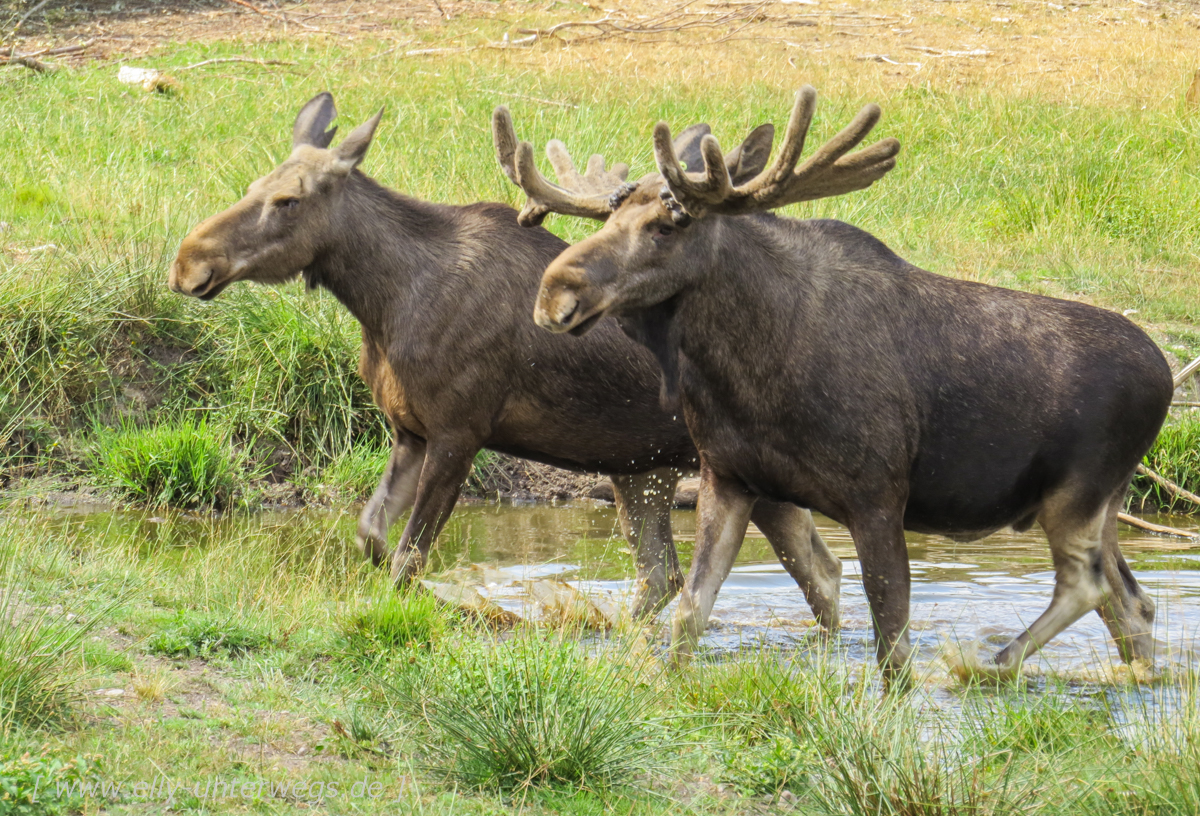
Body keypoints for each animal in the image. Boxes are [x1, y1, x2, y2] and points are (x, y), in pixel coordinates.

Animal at [169, 89, 844, 624]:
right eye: (252, 187)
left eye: (288, 200)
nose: (188, 262)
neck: (382, 303)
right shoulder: (409, 431)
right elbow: (372, 539)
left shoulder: (459, 429)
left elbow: (408, 557)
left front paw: (462, 606)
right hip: (641, 469)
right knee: (670, 577)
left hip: (748, 470)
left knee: (821, 572)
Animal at [496, 85, 1171, 676]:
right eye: (610, 212)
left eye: (668, 226)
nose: (555, 292)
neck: (747, 371)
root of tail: (1165, 376)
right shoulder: (728, 478)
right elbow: (690, 612)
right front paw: (667, 682)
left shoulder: (878, 496)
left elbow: (892, 645)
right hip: (1103, 505)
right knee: (1132, 603)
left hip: (1077, 492)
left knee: (1086, 585)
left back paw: (989, 666)